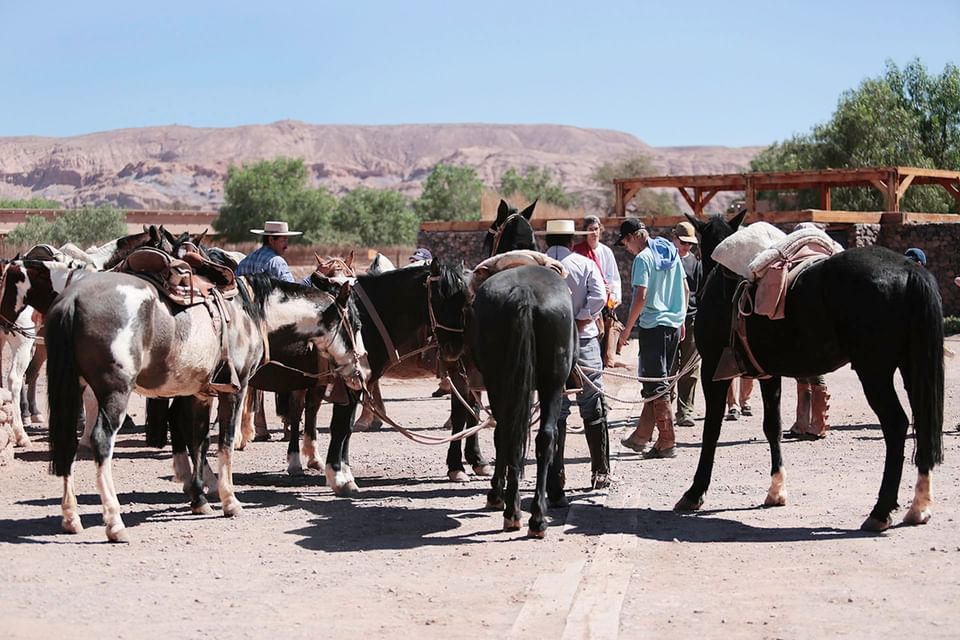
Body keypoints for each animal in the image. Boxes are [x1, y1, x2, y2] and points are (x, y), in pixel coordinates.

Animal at [680, 212, 940, 532]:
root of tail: (908, 269)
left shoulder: (714, 373)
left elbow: (711, 431)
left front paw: (695, 492)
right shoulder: (768, 375)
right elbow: (772, 427)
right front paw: (776, 491)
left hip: (874, 372)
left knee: (896, 424)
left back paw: (880, 511)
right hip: (912, 368)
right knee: (923, 421)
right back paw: (919, 506)